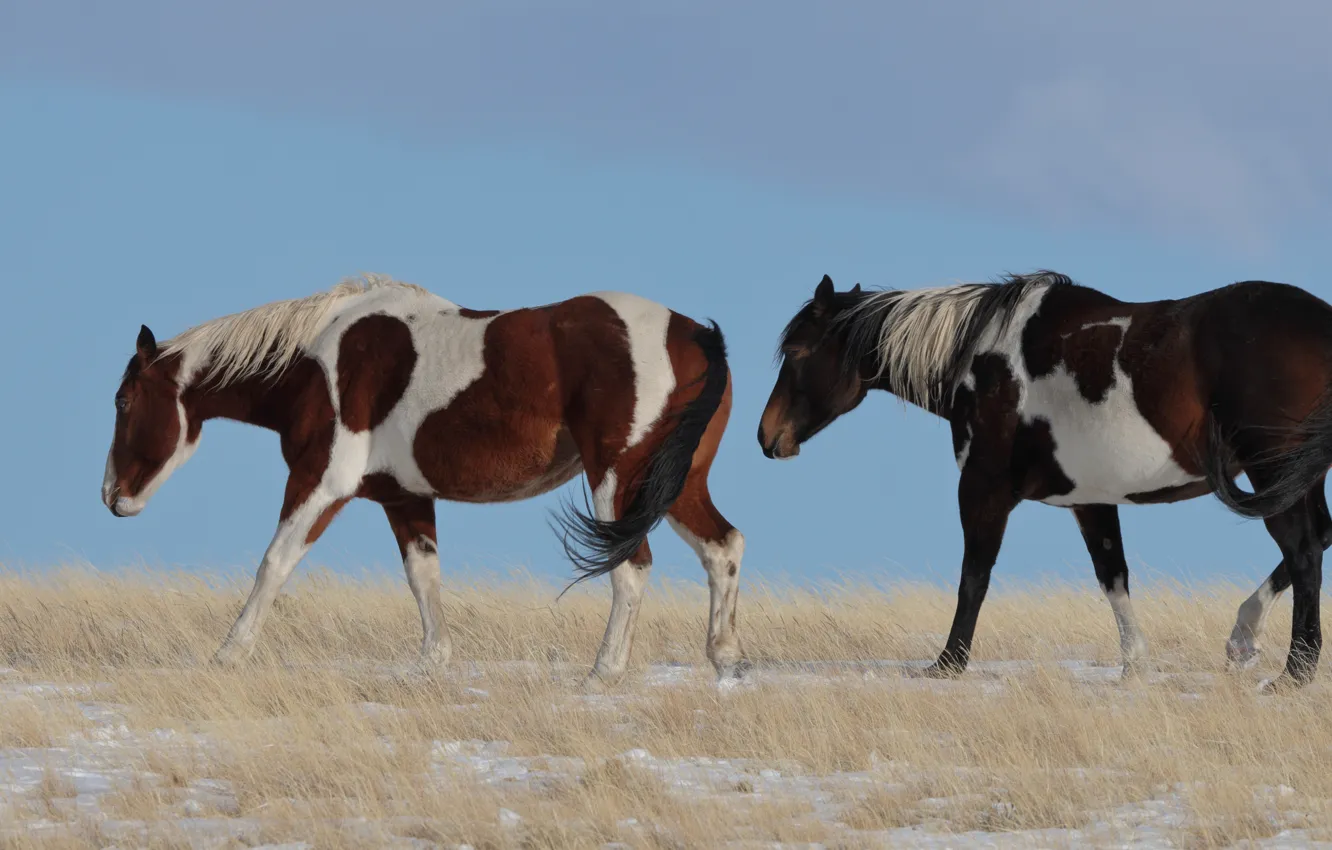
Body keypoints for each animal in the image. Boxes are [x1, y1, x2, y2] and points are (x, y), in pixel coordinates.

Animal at [102, 274, 748, 688]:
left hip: (619, 483)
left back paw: (604, 672)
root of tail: (696, 335)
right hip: (674, 485)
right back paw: (726, 659)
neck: (319, 361)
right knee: (723, 548)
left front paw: (228, 655)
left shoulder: (320, 483)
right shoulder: (404, 497)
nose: (113, 497)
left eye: (124, 400)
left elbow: (274, 563)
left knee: (632, 568)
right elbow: (424, 576)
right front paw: (432, 662)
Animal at [759, 270, 1332, 692]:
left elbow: (974, 576)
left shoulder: (983, 489)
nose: (768, 436)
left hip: (1273, 469)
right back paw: (1247, 638)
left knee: (1303, 548)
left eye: (799, 353)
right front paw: (1134, 666)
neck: (982, 361)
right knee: (1316, 541)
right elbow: (1113, 576)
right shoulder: (1092, 500)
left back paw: (1294, 671)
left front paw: (948, 663)